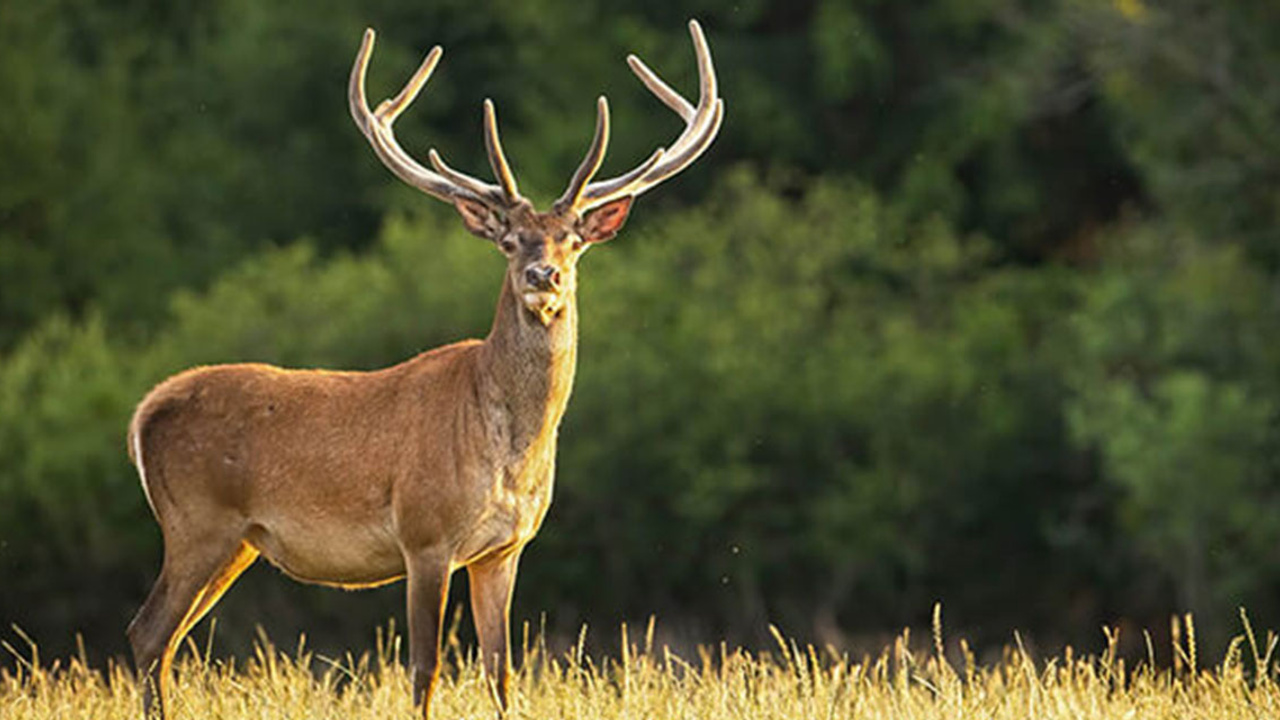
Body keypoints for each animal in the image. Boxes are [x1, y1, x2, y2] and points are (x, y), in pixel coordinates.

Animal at [124, 16, 727, 717]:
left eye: (572, 240)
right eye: (509, 240)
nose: (542, 276)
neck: (508, 451)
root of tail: (144, 413)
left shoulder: (505, 548)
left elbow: (501, 671)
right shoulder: (424, 535)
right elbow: (425, 669)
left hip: (237, 542)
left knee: (165, 639)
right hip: (198, 522)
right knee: (147, 632)